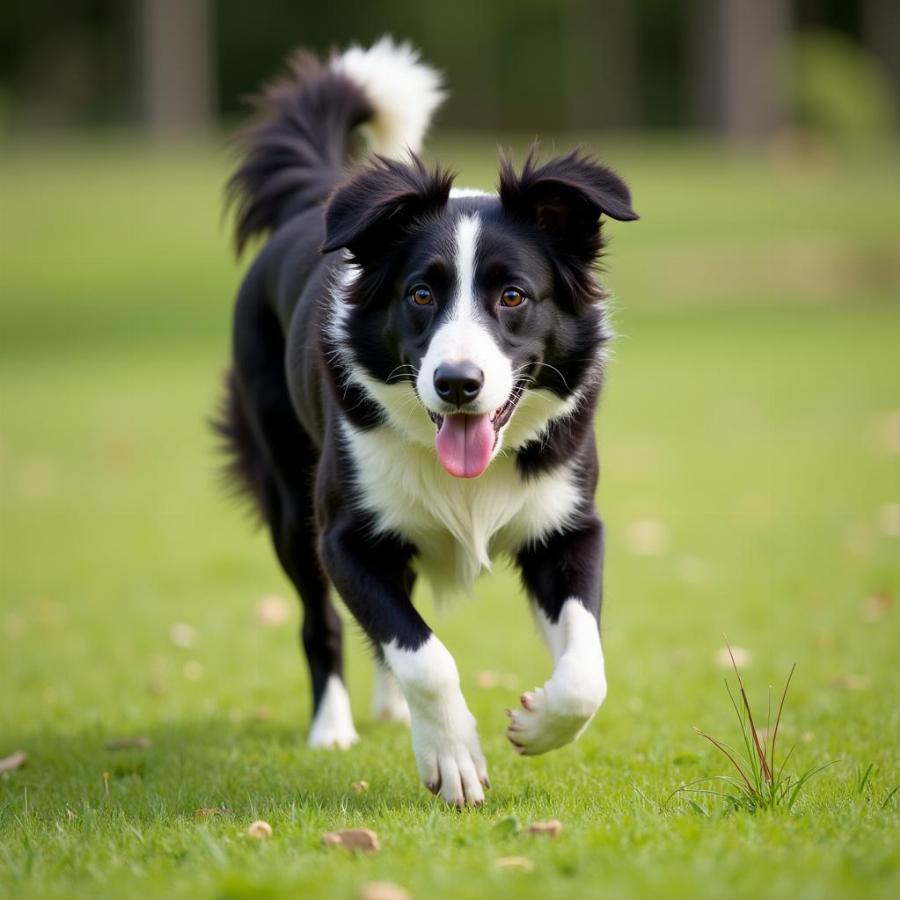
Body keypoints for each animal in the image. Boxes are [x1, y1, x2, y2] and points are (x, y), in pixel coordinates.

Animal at [219, 38, 640, 804]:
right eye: (420, 294)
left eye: (513, 296)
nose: (457, 384)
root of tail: (319, 198)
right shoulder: (344, 538)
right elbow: (423, 655)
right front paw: (453, 757)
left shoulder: (568, 525)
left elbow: (586, 667)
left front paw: (537, 724)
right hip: (289, 504)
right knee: (322, 622)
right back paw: (334, 728)